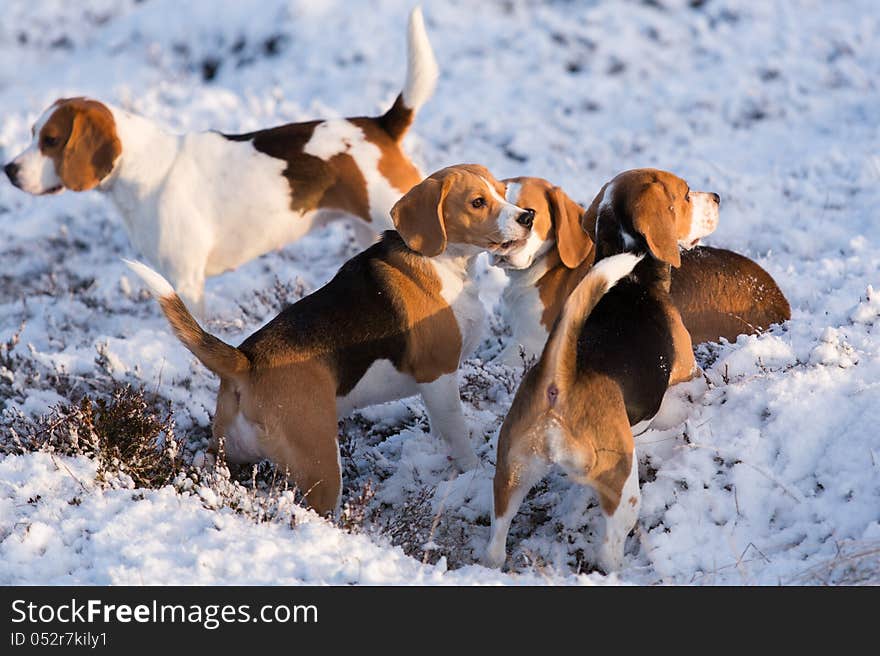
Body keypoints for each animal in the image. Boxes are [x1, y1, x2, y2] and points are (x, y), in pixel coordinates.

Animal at [3, 7, 436, 316]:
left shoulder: (186, 279)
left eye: (51, 140)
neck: (145, 170)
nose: (8, 170)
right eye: (31, 132)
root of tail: (380, 124)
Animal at [126, 165, 532, 516]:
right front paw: (473, 470)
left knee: (207, 462)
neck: (444, 262)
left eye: (502, 191)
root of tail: (248, 359)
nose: (527, 217)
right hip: (322, 465)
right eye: (477, 202)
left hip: (229, 449)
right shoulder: (439, 375)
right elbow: (457, 433)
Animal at [488, 170, 720, 576]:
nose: (719, 197)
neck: (633, 277)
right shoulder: (688, 374)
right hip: (622, 483)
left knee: (495, 543)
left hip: (511, 471)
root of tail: (559, 381)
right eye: (687, 194)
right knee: (609, 549)